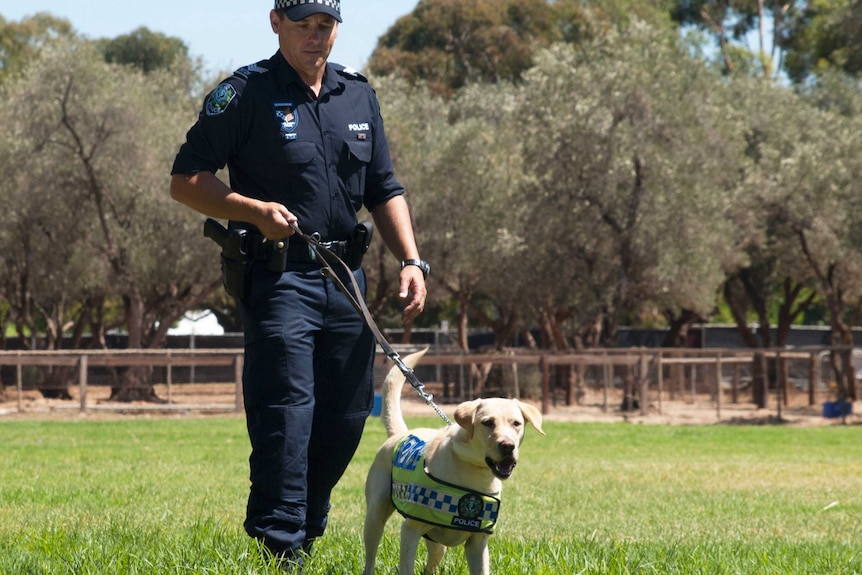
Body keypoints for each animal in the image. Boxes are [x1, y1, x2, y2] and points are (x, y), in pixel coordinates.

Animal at [364, 352, 548, 575]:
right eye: (487, 422)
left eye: (516, 424)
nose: (507, 446)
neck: (474, 475)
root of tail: (400, 434)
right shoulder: (410, 530)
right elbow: (406, 566)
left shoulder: (478, 543)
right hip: (375, 517)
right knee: (370, 555)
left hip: (436, 544)